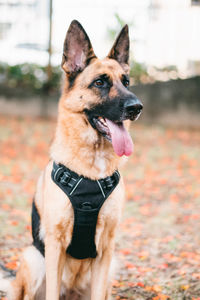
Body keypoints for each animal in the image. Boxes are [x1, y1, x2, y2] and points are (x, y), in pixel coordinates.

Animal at [0, 19, 143, 298]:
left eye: (127, 82)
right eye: (99, 83)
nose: (136, 107)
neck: (91, 168)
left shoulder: (106, 250)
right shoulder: (54, 247)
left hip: (111, 266)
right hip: (34, 259)